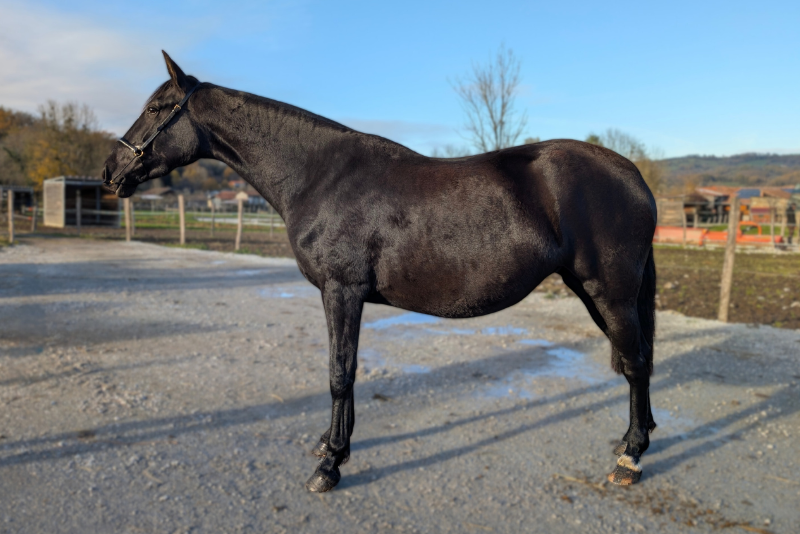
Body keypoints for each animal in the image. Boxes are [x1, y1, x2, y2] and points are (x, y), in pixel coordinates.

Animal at [103, 52, 658, 493]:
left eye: (155, 109)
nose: (111, 171)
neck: (319, 175)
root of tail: (632, 174)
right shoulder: (346, 296)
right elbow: (346, 370)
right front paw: (334, 447)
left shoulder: (341, 291)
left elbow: (339, 372)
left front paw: (328, 466)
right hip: (594, 291)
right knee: (639, 361)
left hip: (608, 291)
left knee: (635, 365)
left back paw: (628, 459)